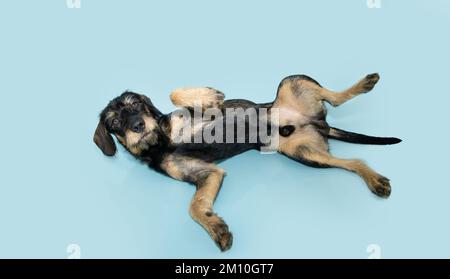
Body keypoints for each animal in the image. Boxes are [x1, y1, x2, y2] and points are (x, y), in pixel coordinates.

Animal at [94, 74, 400, 252]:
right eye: (114, 122)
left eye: (135, 104)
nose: (137, 126)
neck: (162, 141)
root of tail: (318, 122)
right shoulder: (208, 173)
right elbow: (194, 207)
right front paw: (214, 226)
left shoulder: (199, 116)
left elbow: (175, 93)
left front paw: (208, 93)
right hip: (306, 154)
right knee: (352, 160)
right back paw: (374, 179)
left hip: (292, 82)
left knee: (335, 98)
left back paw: (364, 83)